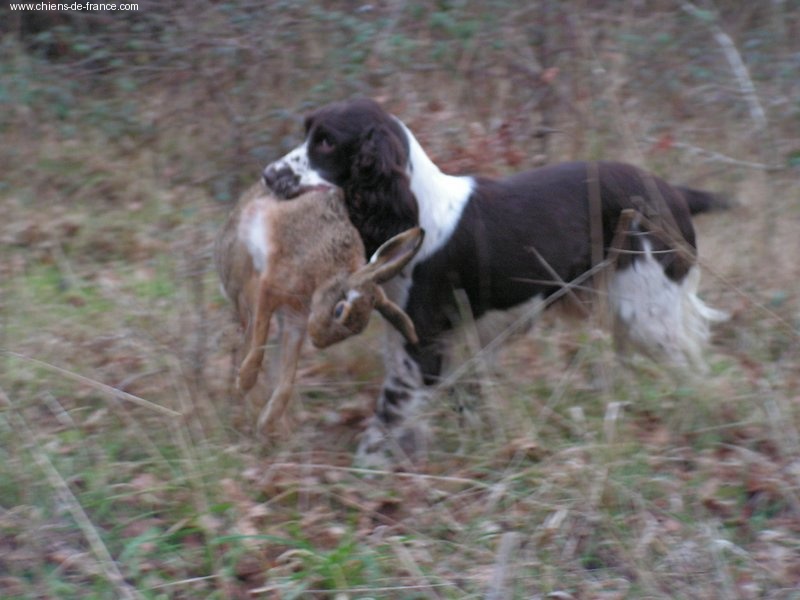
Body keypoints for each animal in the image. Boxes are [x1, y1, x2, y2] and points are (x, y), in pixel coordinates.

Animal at [262, 97, 724, 464]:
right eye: (307, 132)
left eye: (326, 142)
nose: (267, 175)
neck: (412, 209)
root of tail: (674, 192)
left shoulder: (424, 343)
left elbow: (389, 413)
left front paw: (368, 468)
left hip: (648, 311)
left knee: (693, 368)